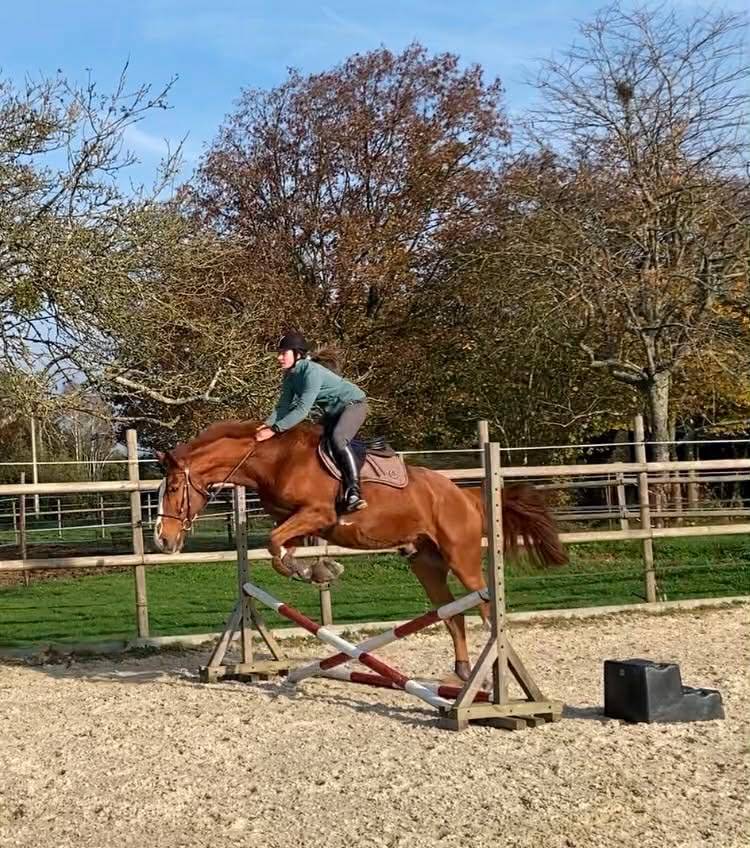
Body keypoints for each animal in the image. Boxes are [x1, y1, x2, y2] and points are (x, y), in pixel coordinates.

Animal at [153, 420, 567, 681]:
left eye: (172, 487)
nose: (162, 539)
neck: (274, 460)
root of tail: (466, 496)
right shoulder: (299, 521)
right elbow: (278, 549)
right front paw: (318, 571)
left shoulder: (316, 514)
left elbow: (275, 545)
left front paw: (322, 571)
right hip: (426, 564)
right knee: (453, 616)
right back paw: (464, 672)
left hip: (463, 560)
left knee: (484, 609)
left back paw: (492, 676)